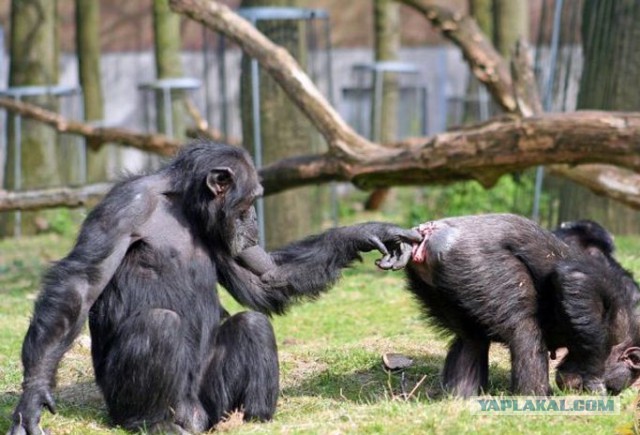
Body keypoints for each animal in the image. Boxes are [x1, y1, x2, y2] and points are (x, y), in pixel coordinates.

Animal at [11, 141, 420, 434]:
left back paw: (251, 418)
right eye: (249, 201)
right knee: (160, 323)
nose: (253, 221)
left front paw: (369, 233)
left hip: (210, 400)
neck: (183, 206)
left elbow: (267, 277)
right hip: (135, 402)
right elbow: (80, 283)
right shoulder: (123, 207)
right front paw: (33, 396)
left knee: (252, 324)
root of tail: (195, 416)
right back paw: (154, 422)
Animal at [384, 215, 640, 398]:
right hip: (479, 264)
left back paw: (462, 395)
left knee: (471, 339)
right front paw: (594, 379)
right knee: (524, 330)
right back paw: (535, 396)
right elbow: (576, 279)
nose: (576, 389)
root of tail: (426, 234)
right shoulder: (610, 295)